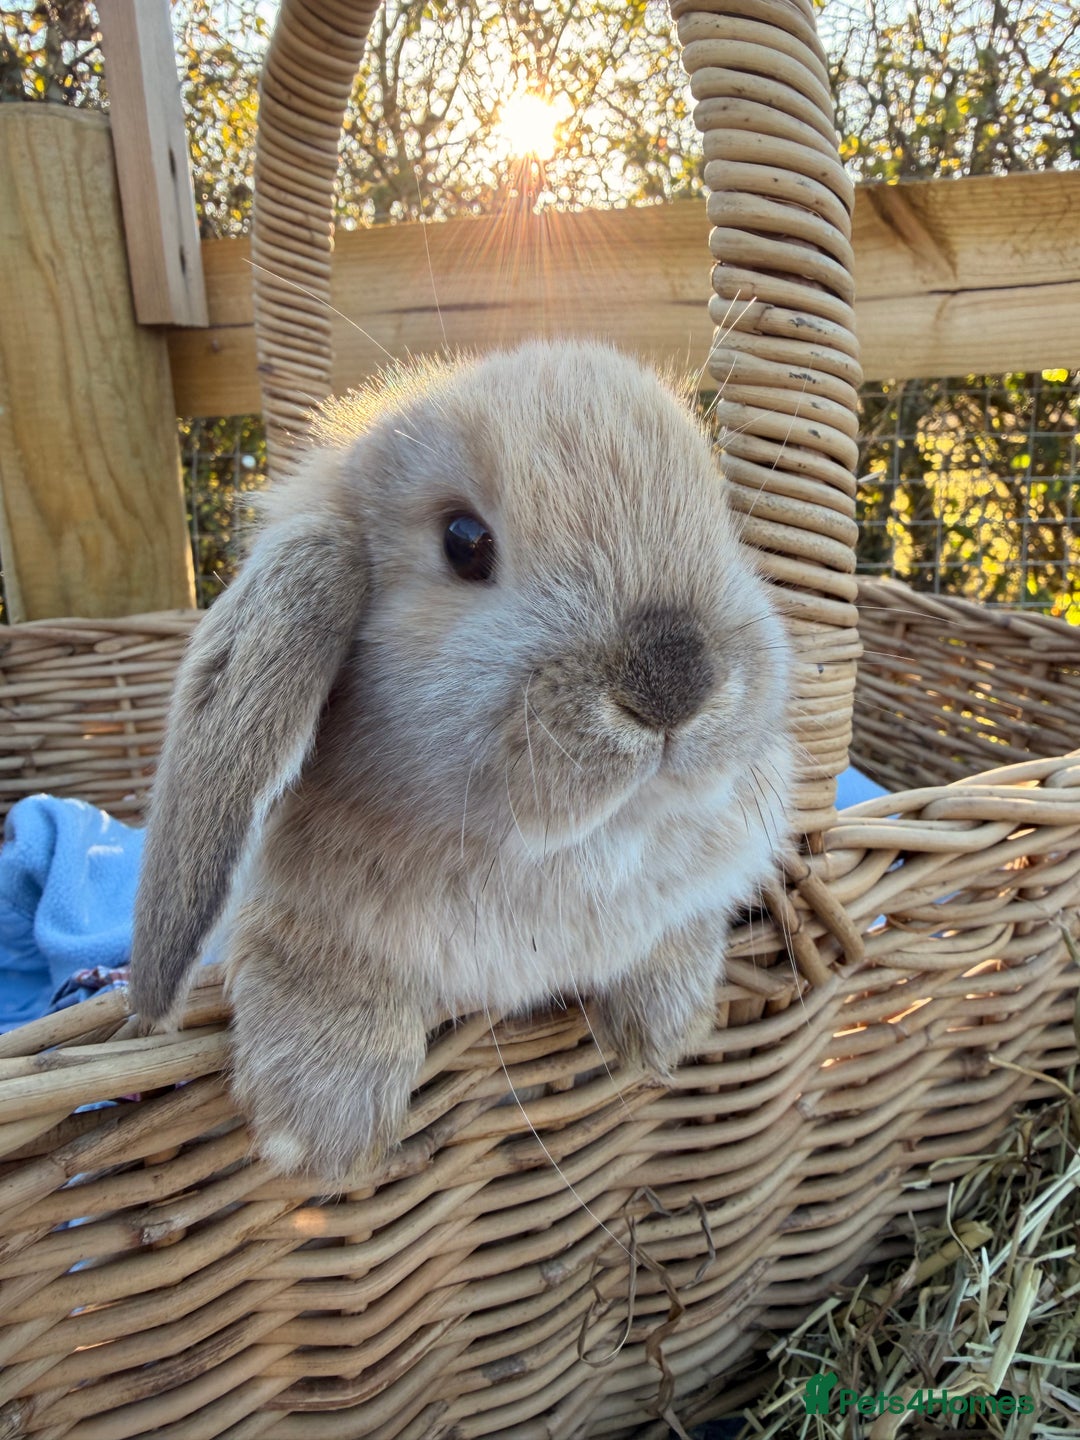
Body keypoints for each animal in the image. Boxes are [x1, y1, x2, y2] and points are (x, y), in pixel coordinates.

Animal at [128, 339, 795, 1184]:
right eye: (465, 542)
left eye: (719, 518)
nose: (676, 681)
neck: (569, 857)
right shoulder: (300, 917)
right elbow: (322, 962)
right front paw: (320, 1130)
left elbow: (678, 932)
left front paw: (665, 1033)